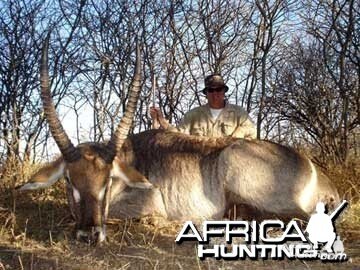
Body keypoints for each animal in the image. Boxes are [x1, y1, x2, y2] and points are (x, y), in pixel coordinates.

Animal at [18, 35, 338, 243]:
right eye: (68, 179)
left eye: (107, 180)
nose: (89, 234)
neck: (132, 155)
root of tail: (316, 171)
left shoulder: (148, 201)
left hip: (233, 159)